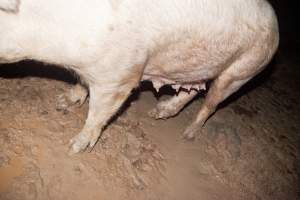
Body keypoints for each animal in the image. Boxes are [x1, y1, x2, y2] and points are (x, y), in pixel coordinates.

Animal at [0, 0, 278, 155]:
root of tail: (276, 26)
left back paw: (187, 135)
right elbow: (81, 84)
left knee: (211, 101)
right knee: (193, 90)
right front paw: (62, 102)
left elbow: (99, 113)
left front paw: (73, 148)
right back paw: (158, 112)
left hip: (244, 69)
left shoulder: (120, 74)